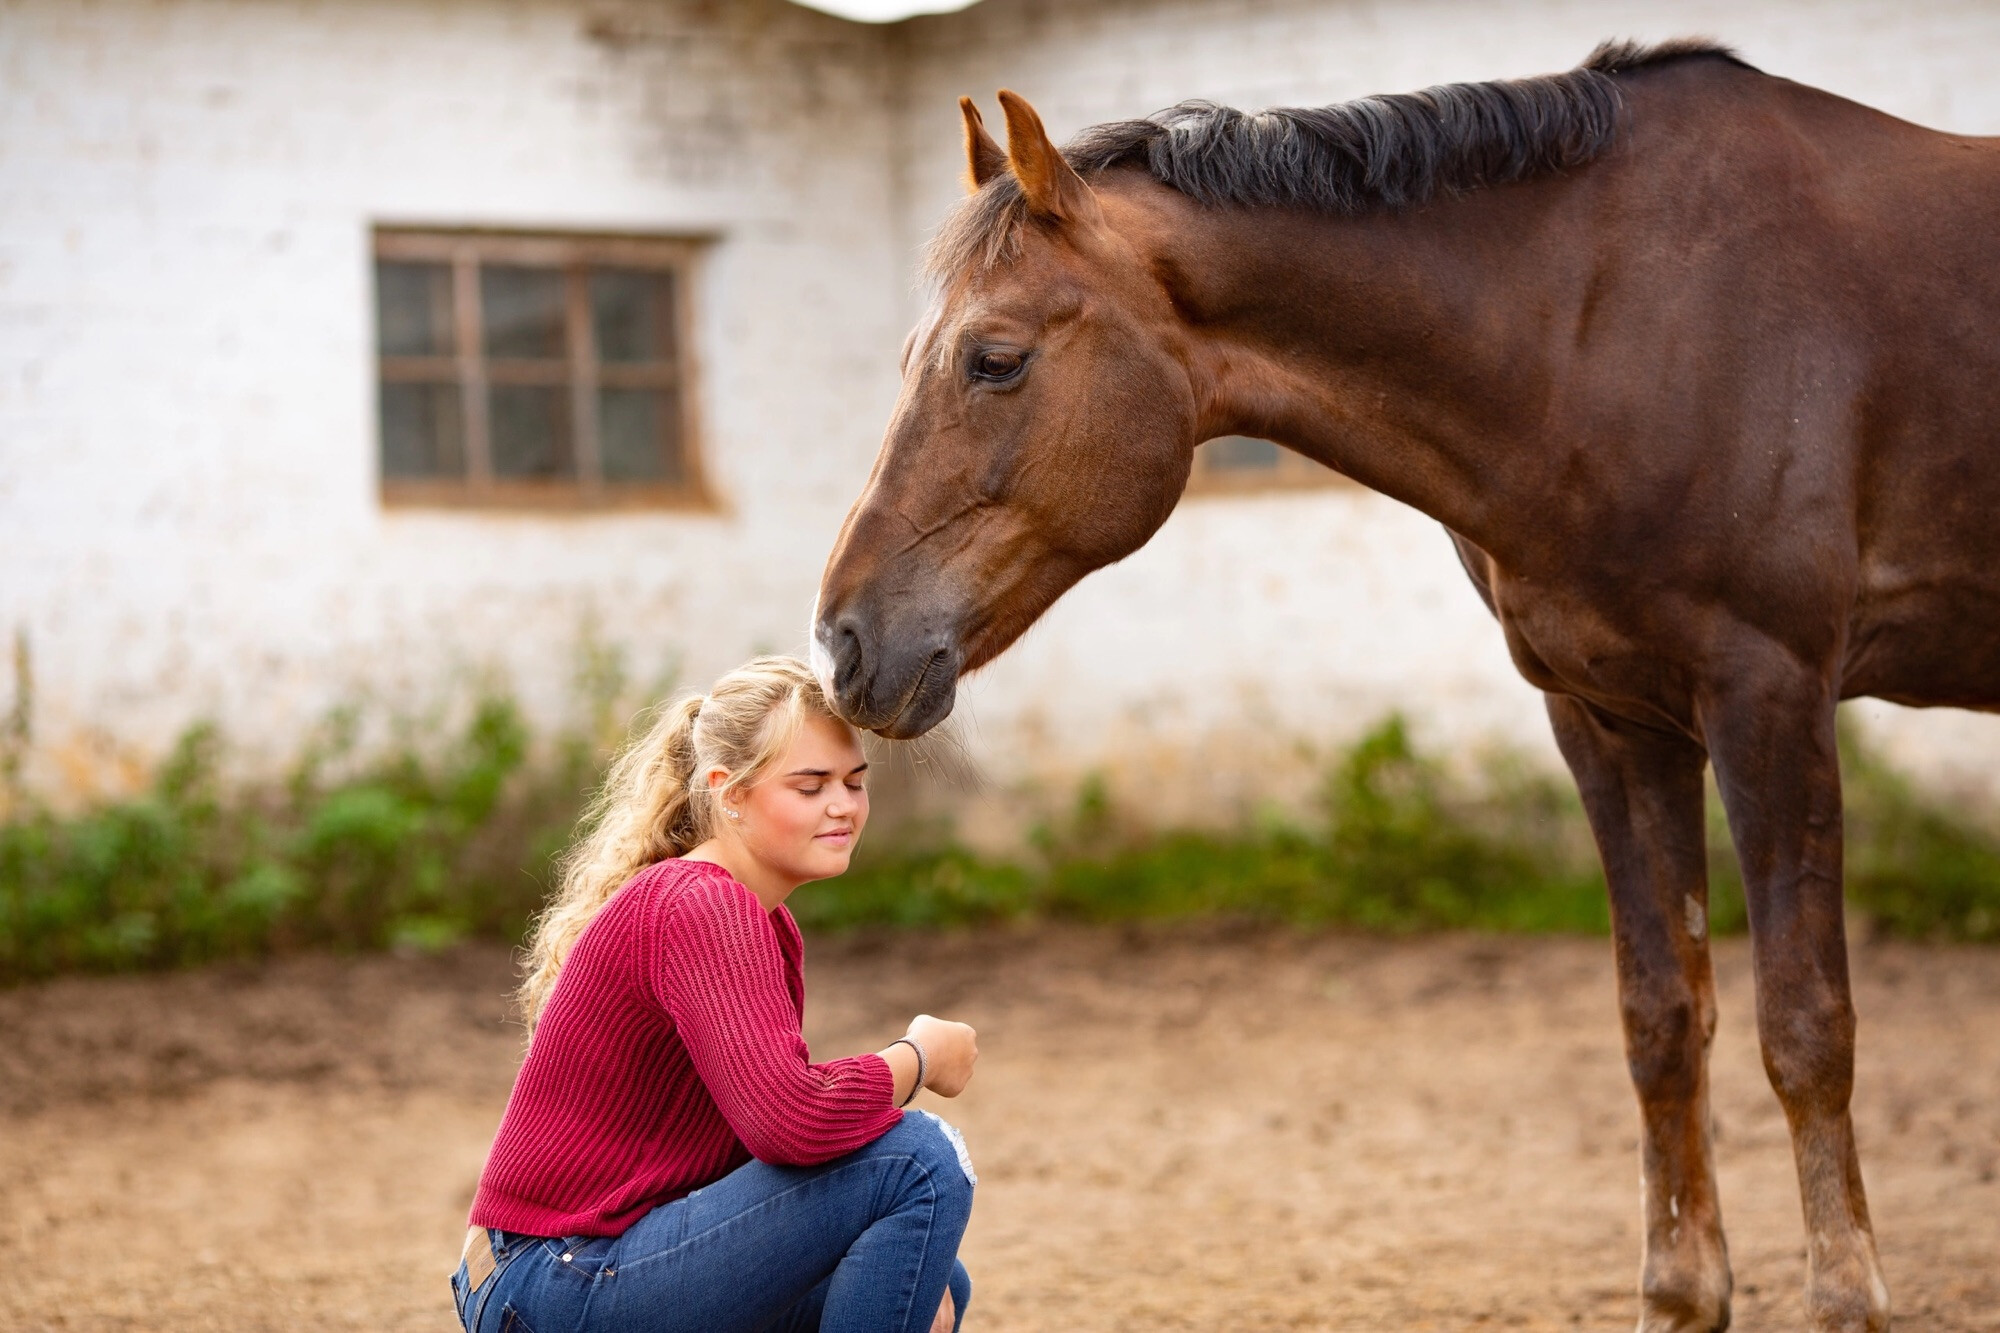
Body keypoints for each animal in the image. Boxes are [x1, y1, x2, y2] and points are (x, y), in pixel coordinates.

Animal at [812, 41, 2000, 1328]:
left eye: (995, 360)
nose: (841, 644)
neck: (1614, 329)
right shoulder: (1607, 718)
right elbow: (1660, 1018)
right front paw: (1681, 1295)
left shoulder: (1767, 695)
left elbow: (1803, 1023)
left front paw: (1845, 1296)